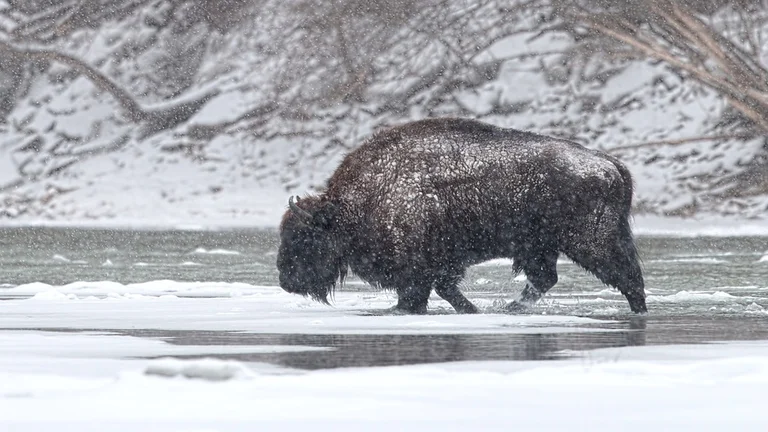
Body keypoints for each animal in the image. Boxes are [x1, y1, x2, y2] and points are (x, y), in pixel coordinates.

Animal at [277, 118, 646, 314]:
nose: (285, 280)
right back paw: (512, 308)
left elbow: (420, 294)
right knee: (545, 279)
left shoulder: (420, 269)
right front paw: (472, 310)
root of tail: (608, 163)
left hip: (591, 242)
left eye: (304, 237)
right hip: (539, 247)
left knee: (627, 276)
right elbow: (443, 290)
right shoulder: (440, 267)